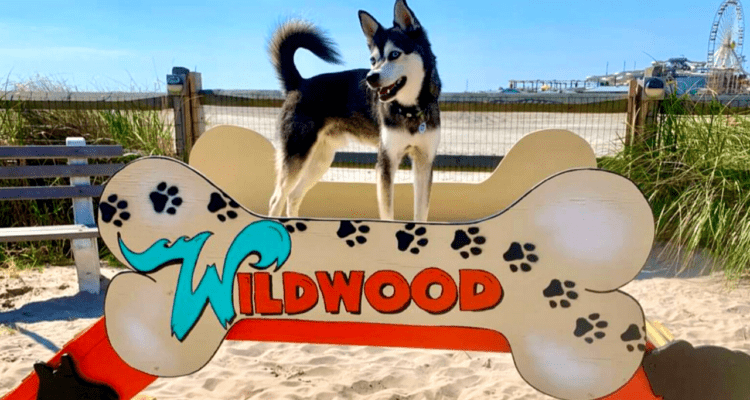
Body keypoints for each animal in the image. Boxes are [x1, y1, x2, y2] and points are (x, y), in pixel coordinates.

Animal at [268, 0, 440, 222]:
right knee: (277, 200)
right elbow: (387, 213)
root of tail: (298, 84)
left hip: (319, 161)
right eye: (373, 60)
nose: (370, 78)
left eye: (394, 54)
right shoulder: (386, 162)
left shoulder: (424, 163)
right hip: (297, 157)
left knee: (293, 196)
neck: (409, 109)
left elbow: (421, 213)